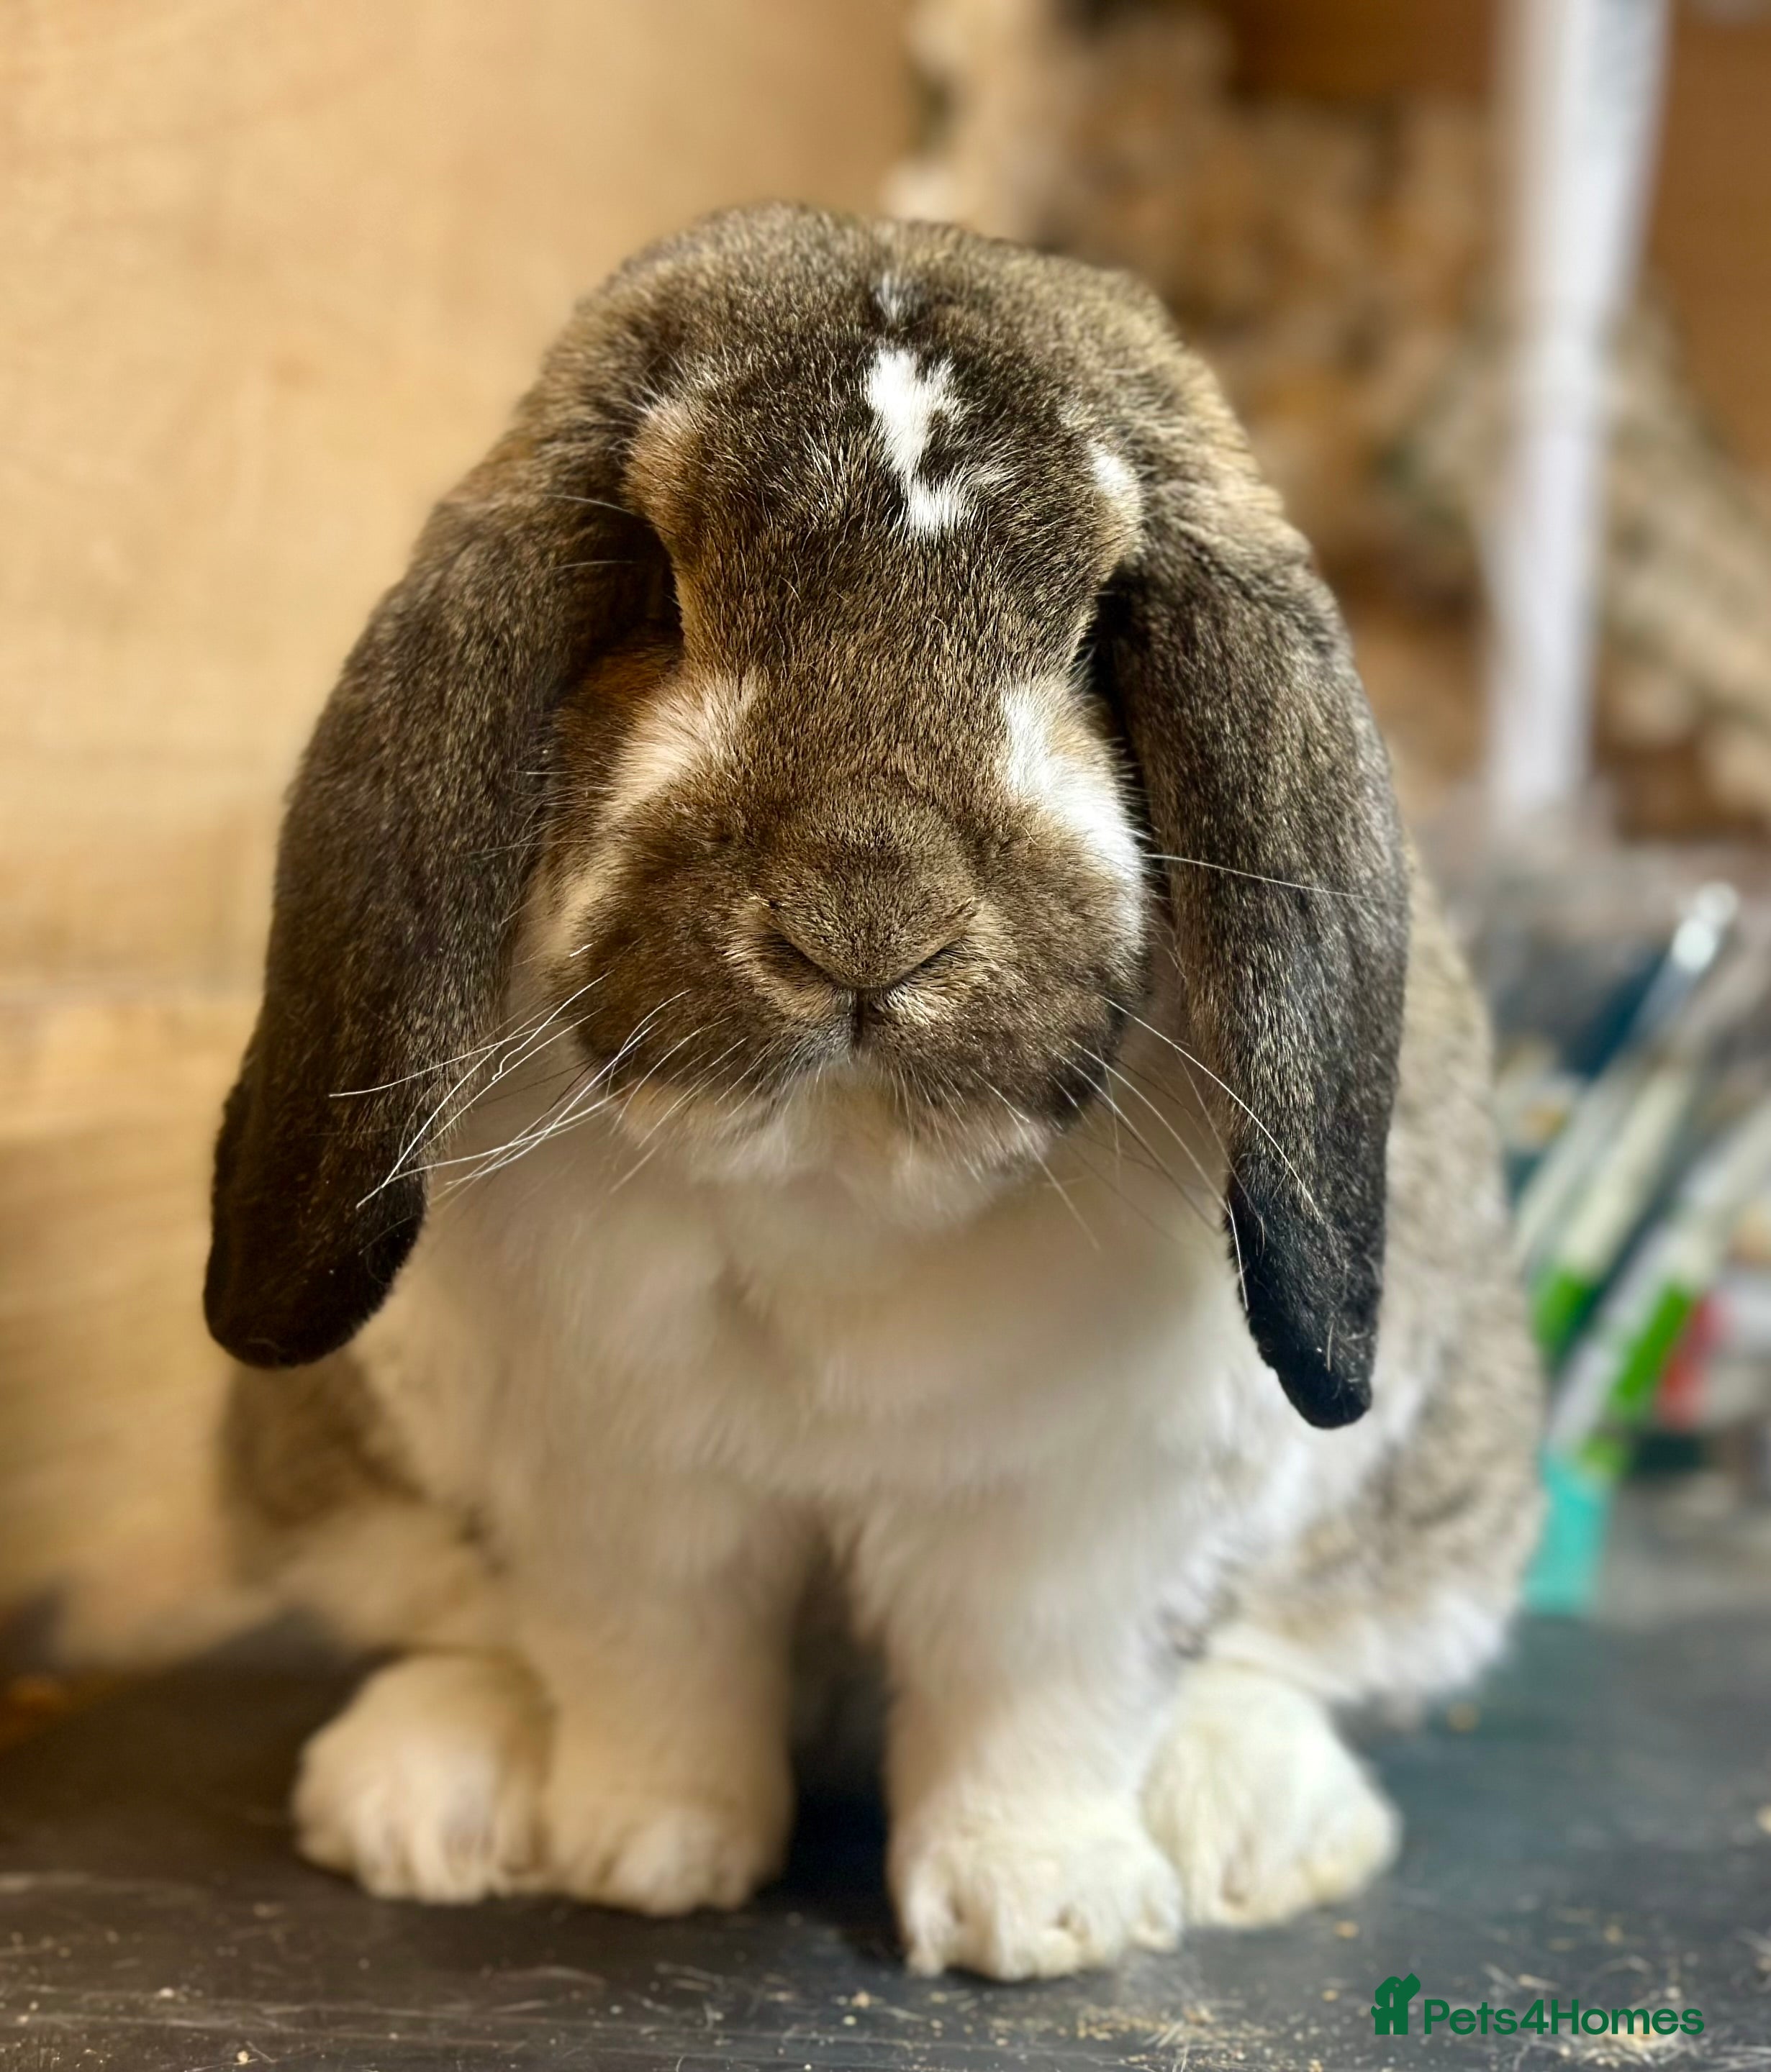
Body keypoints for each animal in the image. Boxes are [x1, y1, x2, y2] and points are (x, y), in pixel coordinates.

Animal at [207, 204, 1542, 1980]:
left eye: (1101, 626)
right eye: (650, 584)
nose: (864, 912)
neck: (839, 1186)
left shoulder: (1077, 1524)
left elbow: (1039, 1701)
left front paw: (1042, 1917)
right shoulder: (620, 1496)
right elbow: (649, 1670)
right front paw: (638, 1855)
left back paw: (1250, 1820)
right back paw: (435, 1799)